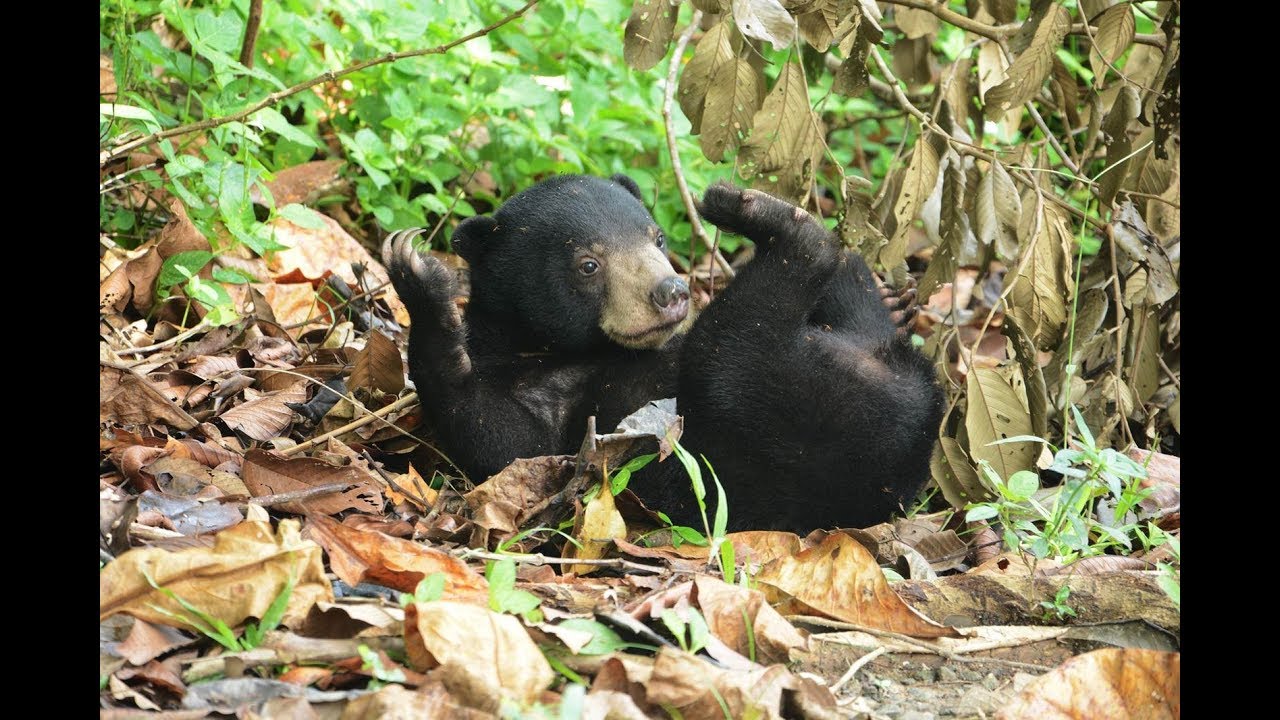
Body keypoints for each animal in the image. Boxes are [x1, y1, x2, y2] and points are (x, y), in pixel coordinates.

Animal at [381, 175, 944, 533]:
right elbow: (501, 440)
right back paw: (765, 214)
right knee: (755, 321)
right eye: (588, 264)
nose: (672, 291)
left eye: (656, 238)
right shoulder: (547, 414)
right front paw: (417, 274)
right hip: (775, 404)